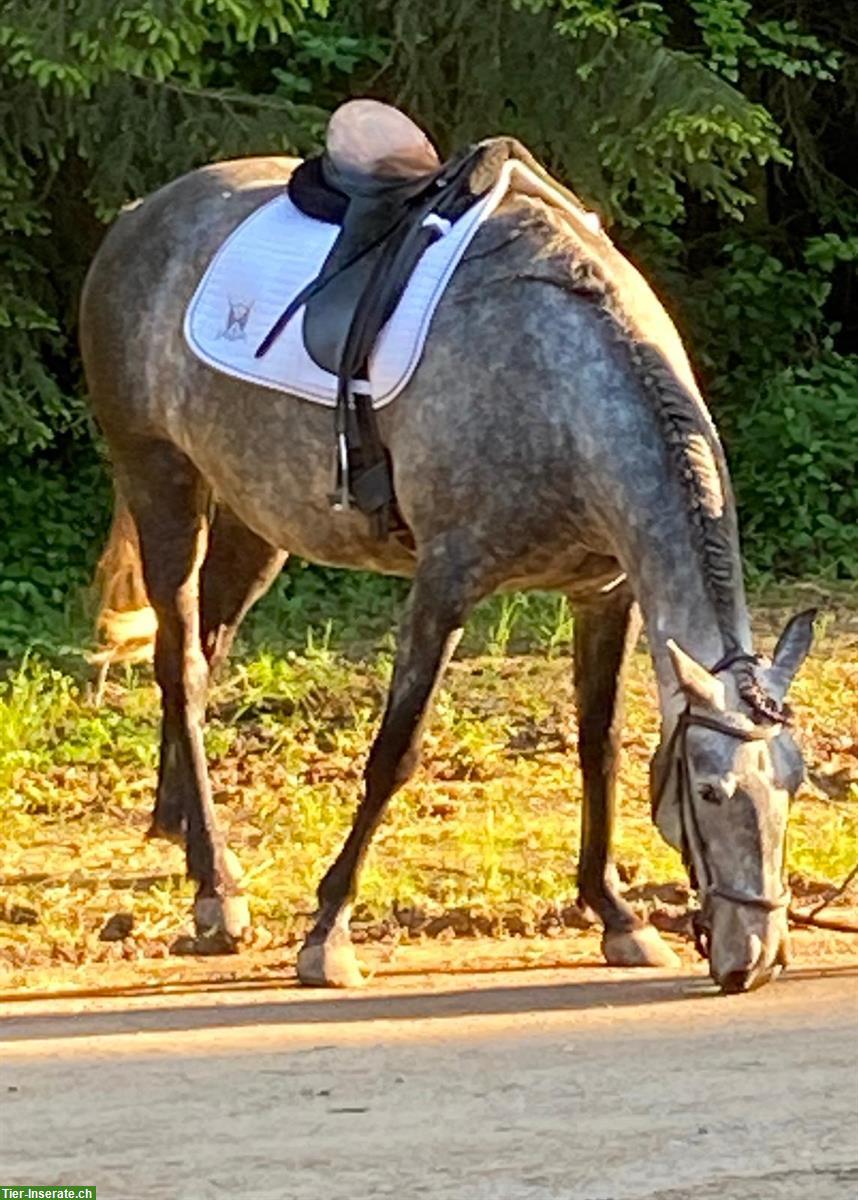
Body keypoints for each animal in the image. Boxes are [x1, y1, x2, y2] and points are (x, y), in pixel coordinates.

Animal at [78, 124, 811, 993]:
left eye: (793, 784)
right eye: (710, 790)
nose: (756, 959)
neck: (557, 381)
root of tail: (139, 215)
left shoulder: (606, 594)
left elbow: (598, 747)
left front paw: (615, 913)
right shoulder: (444, 586)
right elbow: (395, 754)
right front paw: (328, 931)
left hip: (258, 518)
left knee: (204, 645)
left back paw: (181, 830)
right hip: (161, 480)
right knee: (182, 665)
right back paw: (217, 888)